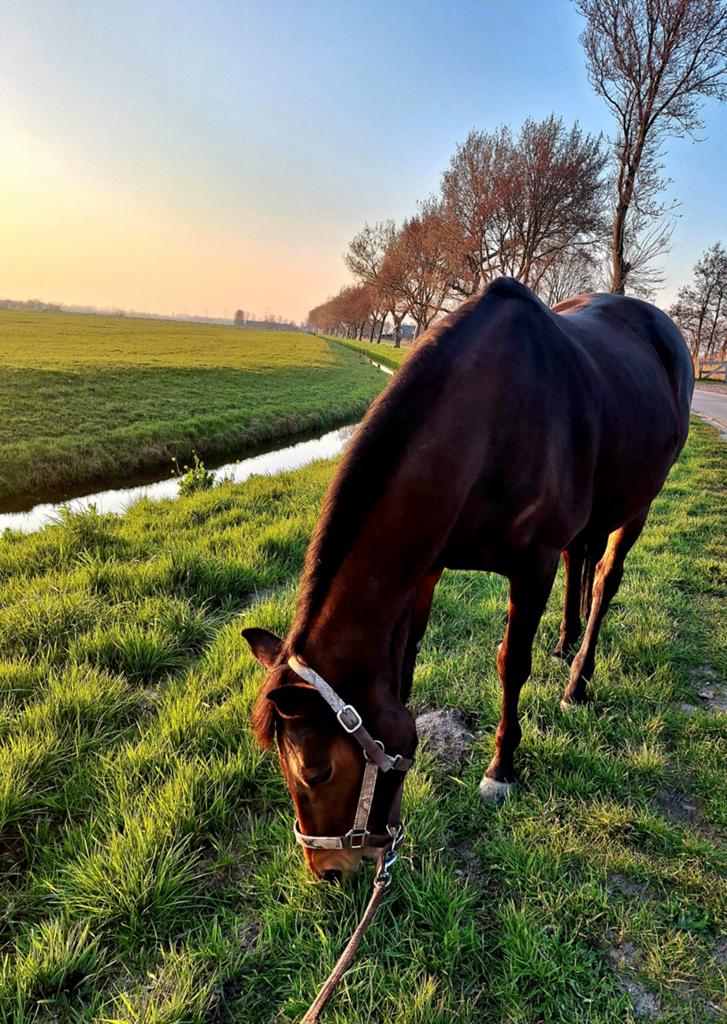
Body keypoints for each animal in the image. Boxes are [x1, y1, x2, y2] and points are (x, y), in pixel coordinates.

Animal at [243, 277, 693, 881]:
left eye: (315, 773)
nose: (331, 870)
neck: (485, 426)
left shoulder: (533, 568)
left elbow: (511, 663)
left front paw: (501, 769)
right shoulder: (428, 569)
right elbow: (406, 669)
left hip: (639, 505)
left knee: (604, 581)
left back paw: (578, 679)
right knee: (582, 558)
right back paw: (565, 642)